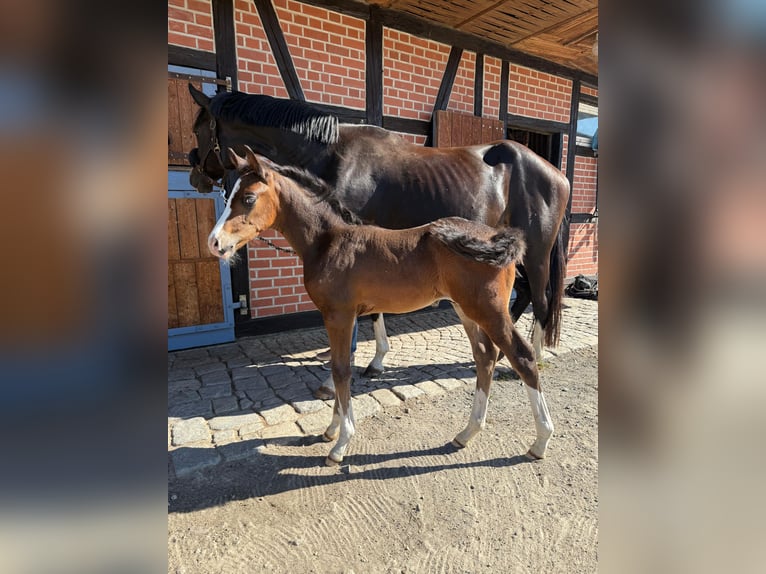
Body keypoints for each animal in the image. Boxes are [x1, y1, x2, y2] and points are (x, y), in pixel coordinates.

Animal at [187, 85, 570, 380]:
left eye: (197, 130)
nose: (194, 177)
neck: (334, 156)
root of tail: (556, 174)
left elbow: (370, 311)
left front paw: (367, 360)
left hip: (536, 253)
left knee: (541, 298)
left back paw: (530, 359)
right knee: (520, 297)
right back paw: (503, 355)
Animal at [209, 146, 555, 466]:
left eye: (248, 198)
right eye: (227, 194)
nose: (214, 243)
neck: (330, 242)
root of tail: (497, 237)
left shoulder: (339, 315)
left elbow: (341, 370)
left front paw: (340, 444)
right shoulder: (339, 317)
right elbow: (339, 367)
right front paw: (331, 430)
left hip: (490, 310)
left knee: (522, 356)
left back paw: (540, 441)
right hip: (465, 309)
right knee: (485, 356)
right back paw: (466, 433)